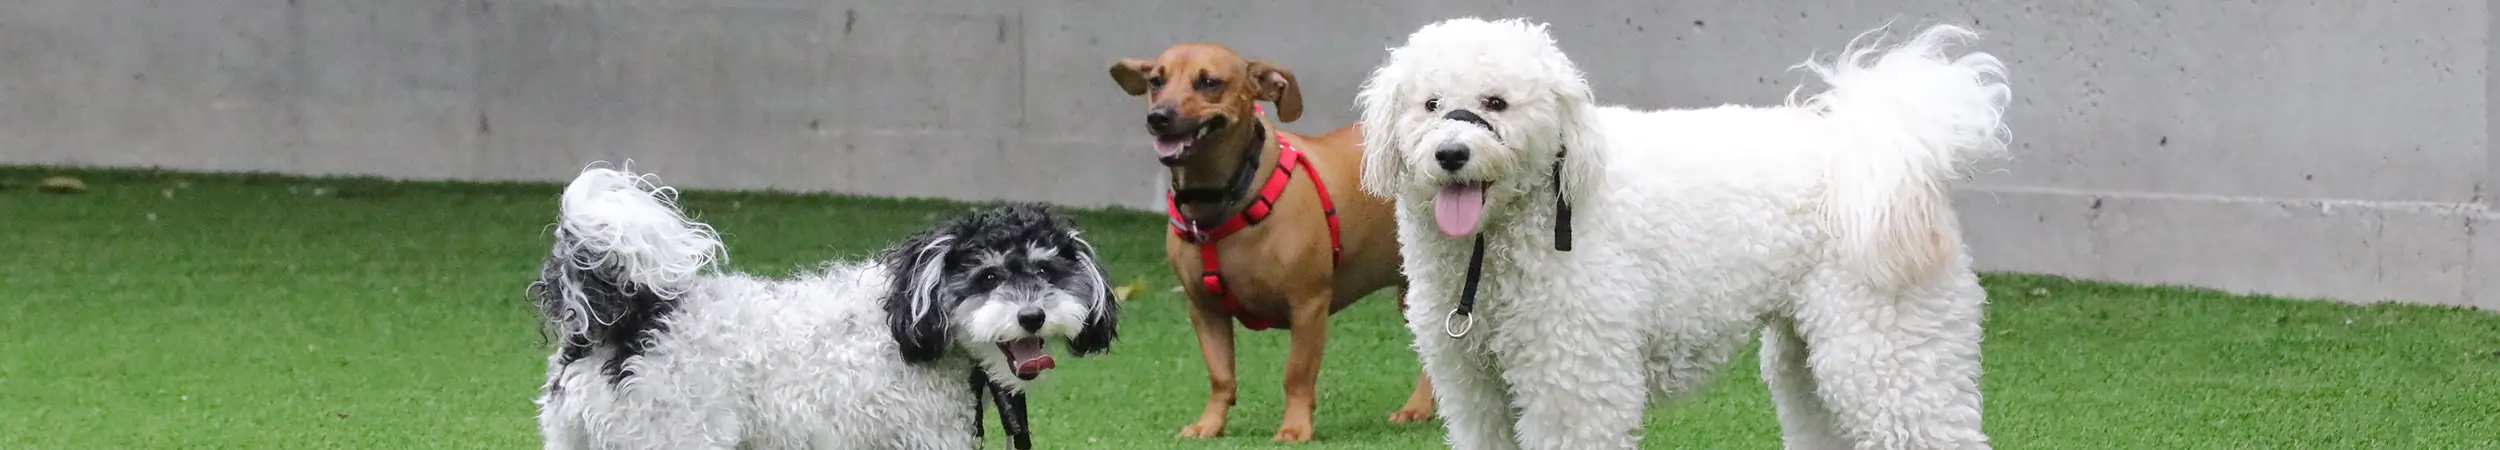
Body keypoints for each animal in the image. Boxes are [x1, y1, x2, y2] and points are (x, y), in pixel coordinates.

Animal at [525, 166, 1115, 450]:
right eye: (988, 277)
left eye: (1046, 272)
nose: (1032, 317)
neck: (905, 317)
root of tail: (624, 326)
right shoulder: (920, 440)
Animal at [1110, 44, 1440, 440]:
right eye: (1156, 81)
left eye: (1209, 82)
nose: (1158, 117)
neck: (1223, 198)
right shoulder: (1203, 309)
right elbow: (1221, 376)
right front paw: (1210, 424)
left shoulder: (1308, 305)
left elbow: (1296, 374)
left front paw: (1295, 427)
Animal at [1350, 17, 2010, 450]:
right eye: (1430, 104)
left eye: (1496, 102)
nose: (1452, 154)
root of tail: (1874, 144)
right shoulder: (1471, 386)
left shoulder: (1574, 381)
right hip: (1810, 361)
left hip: (1891, 347)